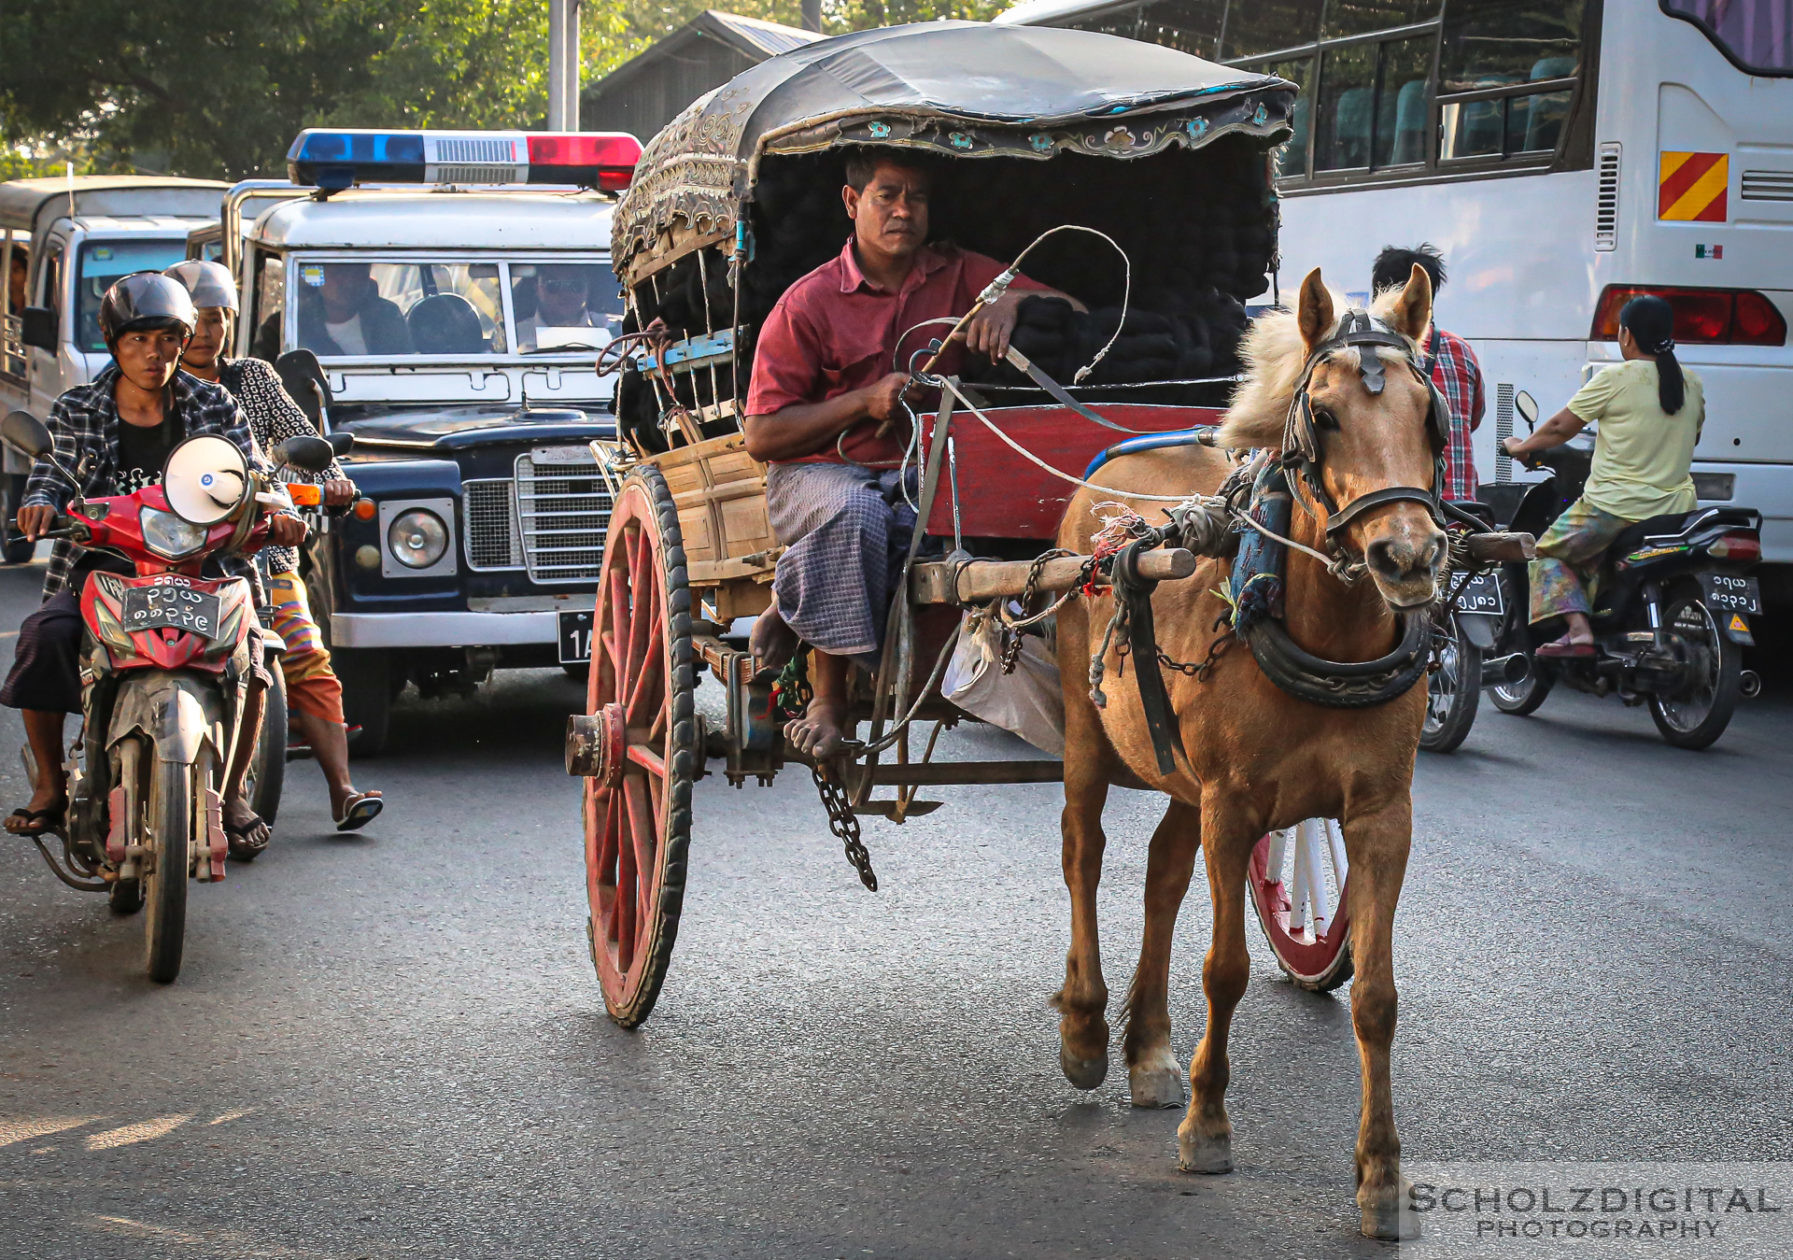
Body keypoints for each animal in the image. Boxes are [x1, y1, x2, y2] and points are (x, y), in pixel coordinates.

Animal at [1047, 261, 1441, 1240]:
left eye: (1428, 413)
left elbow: (1376, 999)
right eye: (1324, 416)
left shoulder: (1383, 816)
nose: (1407, 558)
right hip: (1084, 729)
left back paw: (1148, 1048)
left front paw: (1381, 1176)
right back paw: (1086, 1028)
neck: (1324, 629)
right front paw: (1208, 1123)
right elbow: (1223, 970)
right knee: (1083, 853)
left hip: (1177, 773)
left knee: (1160, 874)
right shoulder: (1232, 805)